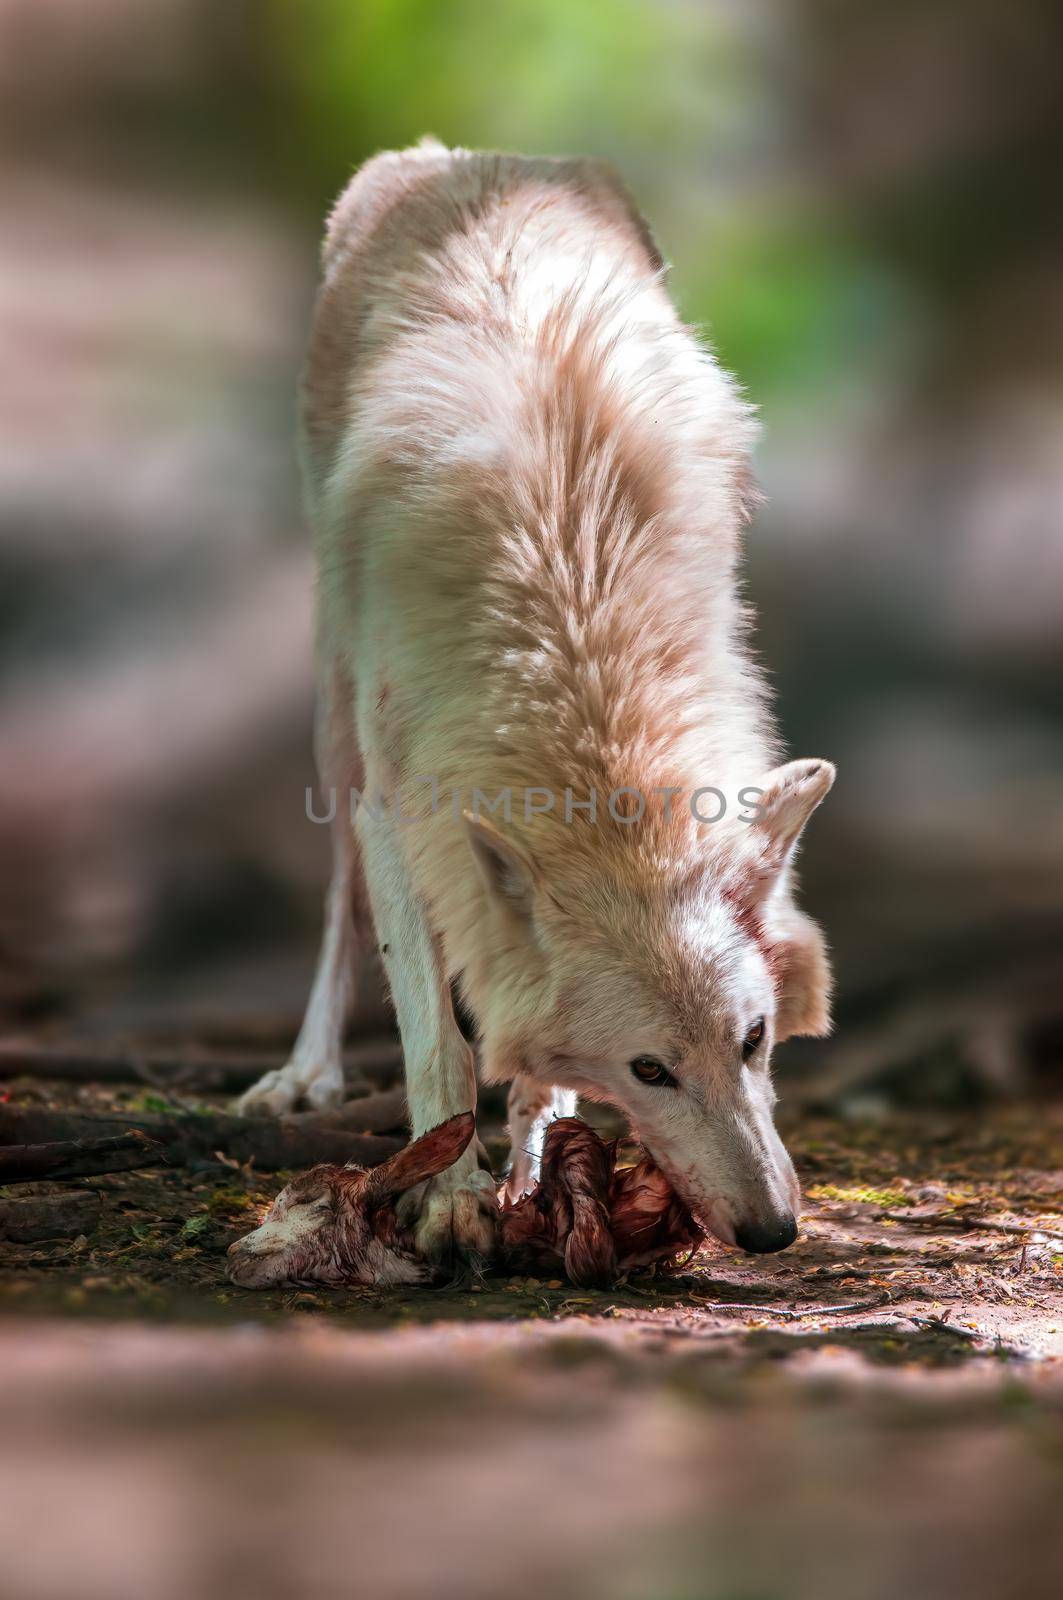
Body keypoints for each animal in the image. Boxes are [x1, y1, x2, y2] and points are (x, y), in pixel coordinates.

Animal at [236, 140, 832, 1260]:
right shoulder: (402, 805)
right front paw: (448, 1192)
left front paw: (532, 1163)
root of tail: (461, 158)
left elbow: (531, 1061)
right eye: (650, 1070)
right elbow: (437, 1032)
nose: (773, 1230)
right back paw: (306, 1074)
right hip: (334, 710)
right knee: (338, 900)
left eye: (754, 1039)